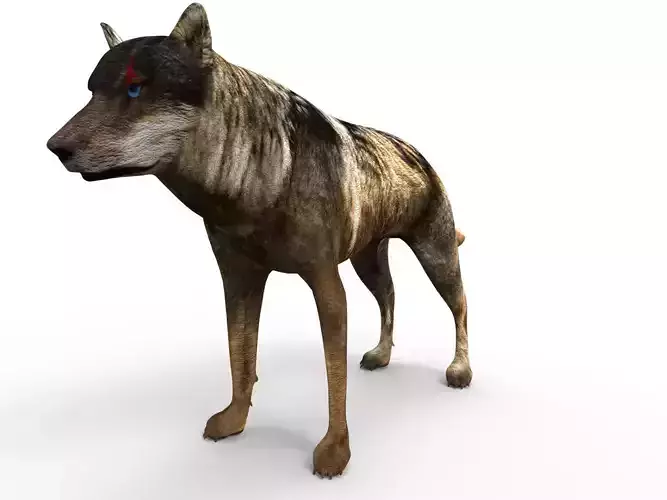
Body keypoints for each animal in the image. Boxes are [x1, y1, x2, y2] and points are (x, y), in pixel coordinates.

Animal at [46, 3, 471, 478]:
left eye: (136, 89)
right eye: (91, 92)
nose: (54, 147)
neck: (260, 173)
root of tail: (416, 151)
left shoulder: (327, 286)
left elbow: (334, 379)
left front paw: (334, 452)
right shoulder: (239, 280)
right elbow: (241, 356)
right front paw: (234, 420)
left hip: (436, 256)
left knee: (459, 306)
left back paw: (460, 369)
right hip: (368, 261)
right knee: (390, 298)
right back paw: (381, 355)